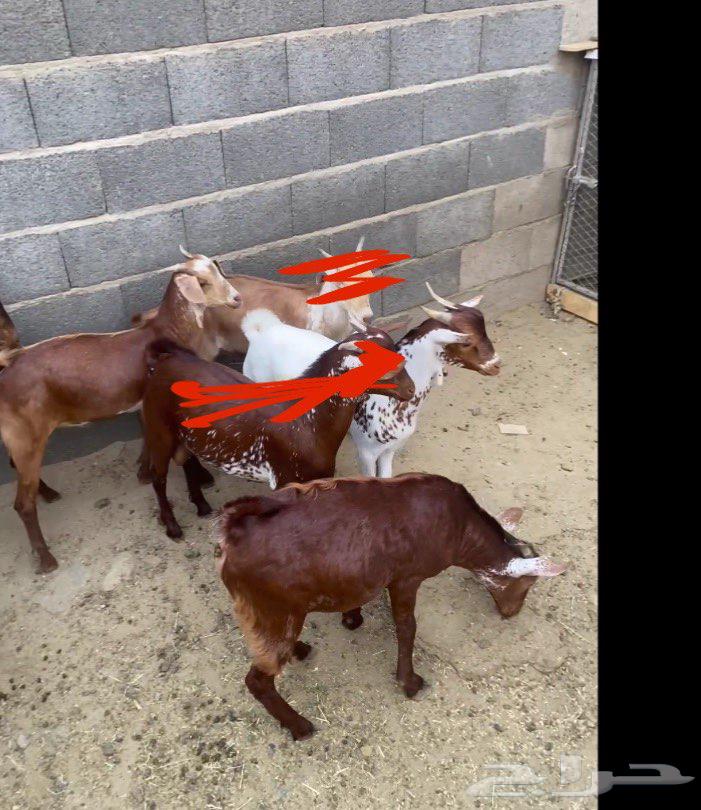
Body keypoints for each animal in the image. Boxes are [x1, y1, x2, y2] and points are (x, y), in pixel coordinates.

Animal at [0, 251, 241, 573]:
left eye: (217, 270)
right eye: (201, 282)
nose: (237, 299)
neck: (165, 333)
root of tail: (6, 372)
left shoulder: (143, 403)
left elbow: (146, 436)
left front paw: (143, 471)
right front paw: (197, 484)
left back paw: (48, 493)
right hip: (27, 434)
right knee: (22, 504)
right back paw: (46, 558)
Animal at [141, 329, 415, 540]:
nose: (411, 389)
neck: (308, 421)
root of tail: (165, 361)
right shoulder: (286, 478)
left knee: (185, 460)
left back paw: (201, 505)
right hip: (158, 428)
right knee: (158, 476)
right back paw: (173, 527)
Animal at [216, 474, 566, 740]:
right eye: (528, 585)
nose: (511, 613)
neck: (459, 529)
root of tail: (233, 534)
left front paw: (352, 618)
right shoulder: (407, 577)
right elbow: (407, 627)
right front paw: (410, 683)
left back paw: (299, 650)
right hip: (271, 610)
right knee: (258, 679)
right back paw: (300, 726)